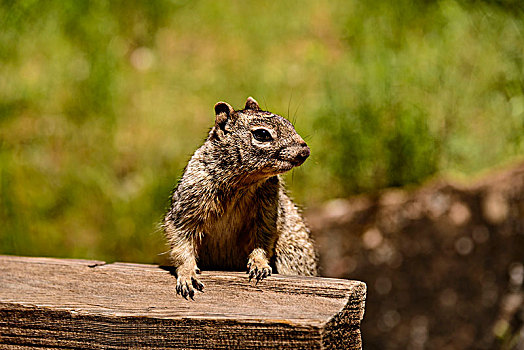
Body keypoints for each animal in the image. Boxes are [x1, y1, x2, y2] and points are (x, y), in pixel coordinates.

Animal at [164, 96, 318, 298]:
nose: (305, 152)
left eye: (289, 123)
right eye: (262, 134)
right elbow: (182, 242)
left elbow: (263, 239)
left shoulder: (267, 210)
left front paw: (259, 264)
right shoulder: (188, 206)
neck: (242, 183)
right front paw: (187, 275)